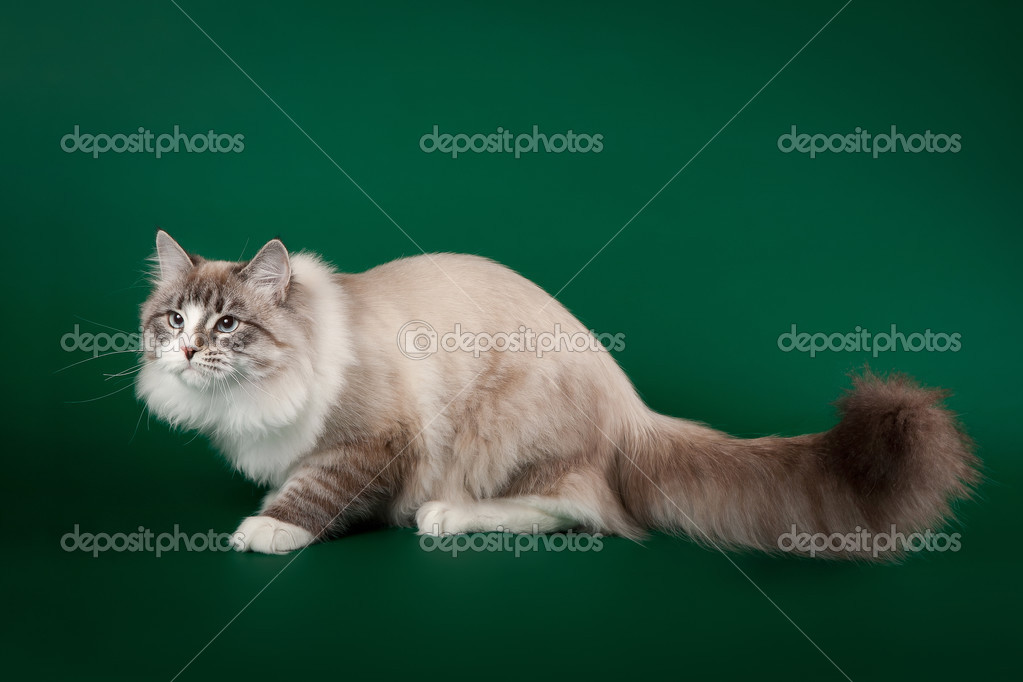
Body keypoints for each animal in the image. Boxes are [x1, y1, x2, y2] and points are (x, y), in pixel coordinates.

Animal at [138, 232, 982, 556]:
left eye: (227, 324)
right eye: (174, 319)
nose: (186, 349)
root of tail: (632, 410)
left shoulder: (372, 439)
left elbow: (314, 490)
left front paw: (267, 529)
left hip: (505, 425)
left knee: (581, 510)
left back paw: (445, 517)